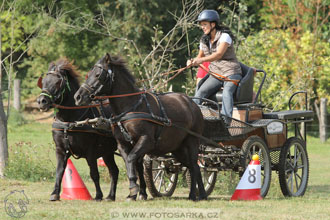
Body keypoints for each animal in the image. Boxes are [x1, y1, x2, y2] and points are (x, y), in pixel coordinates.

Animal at [36, 58, 119, 201]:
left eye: (58, 82)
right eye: (44, 81)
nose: (42, 101)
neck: (69, 121)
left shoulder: (90, 151)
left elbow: (94, 174)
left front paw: (98, 195)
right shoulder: (61, 150)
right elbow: (59, 172)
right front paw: (54, 194)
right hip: (108, 152)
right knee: (114, 171)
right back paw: (111, 196)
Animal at [74, 53, 206, 201]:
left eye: (98, 75)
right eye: (88, 74)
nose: (78, 97)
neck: (130, 107)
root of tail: (192, 104)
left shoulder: (146, 140)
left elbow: (132, 159)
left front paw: (134, 189)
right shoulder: (123, 144)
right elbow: (129, 163)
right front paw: (133, 192)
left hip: (192, 142)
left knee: (194, 166)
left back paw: (194, 194)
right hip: (178, 148)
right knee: (193, 167)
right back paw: (202, 194)